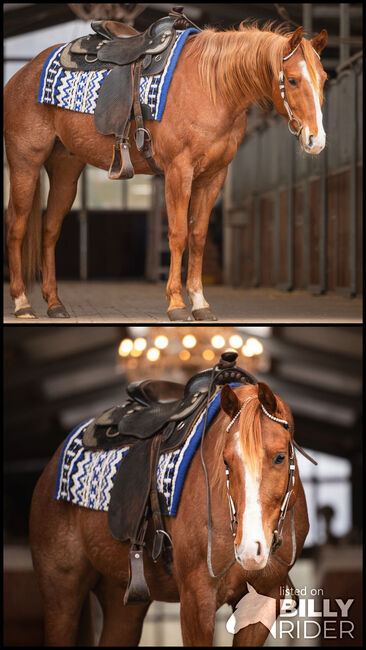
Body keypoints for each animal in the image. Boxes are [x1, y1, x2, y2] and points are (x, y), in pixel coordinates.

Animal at [4, 20, 328, 322]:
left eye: (323, 78)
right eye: (293, 80)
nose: (317, 140)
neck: (212, 88)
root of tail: (21, 75)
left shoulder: (214, 176)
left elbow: (197, 235)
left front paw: (200, 303)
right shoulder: (179, 170)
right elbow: (178, 233)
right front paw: (176, 304)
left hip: (65, 170)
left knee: (49, 230)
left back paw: (54, 304)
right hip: (25, 163)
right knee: (17, 226)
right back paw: (22, 303)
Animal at [30, 380, 310, 644]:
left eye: (280, 457)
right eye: (226, 461)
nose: (251, 549)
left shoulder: (262, 603)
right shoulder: (196, 601)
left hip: (123, 600)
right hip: (61, 594)